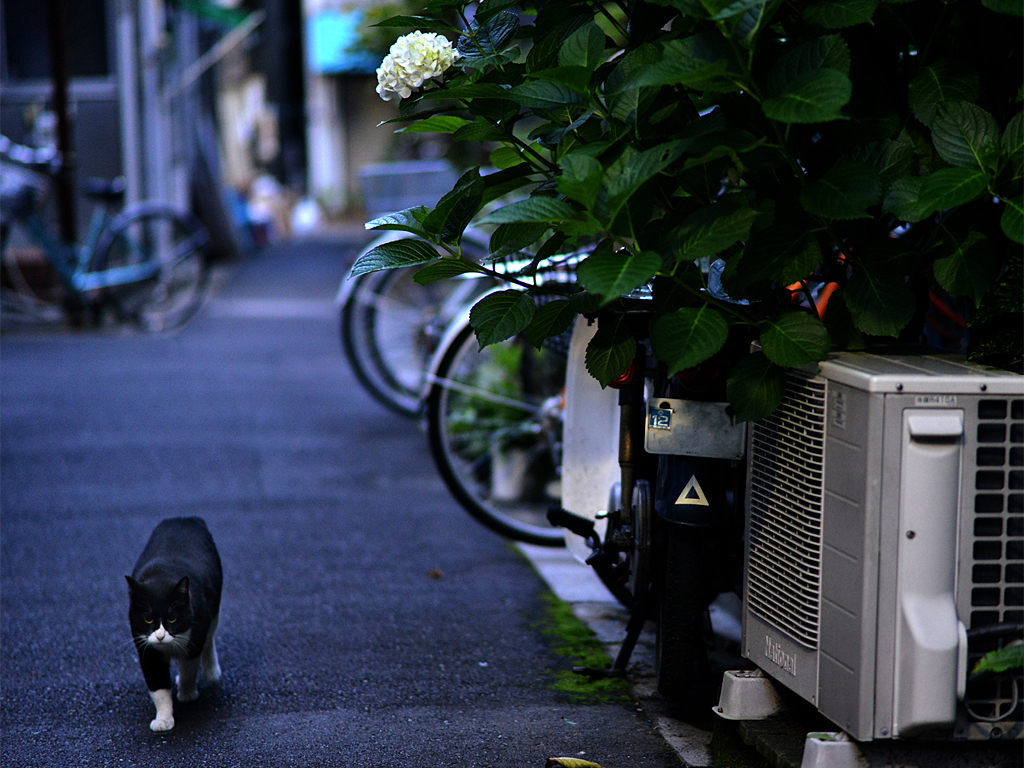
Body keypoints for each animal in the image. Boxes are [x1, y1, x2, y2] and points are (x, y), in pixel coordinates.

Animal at [126, 518, 223, 733]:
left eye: (172, 619)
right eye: (147, 619)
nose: (160, 636)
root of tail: (185, 518)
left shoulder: (195, 636)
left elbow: (189, 669)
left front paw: (187, 695)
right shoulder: (146, 650)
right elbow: (158, 688)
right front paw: (163, 720)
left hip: (213, 609)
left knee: (209, 639)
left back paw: (211, 674)